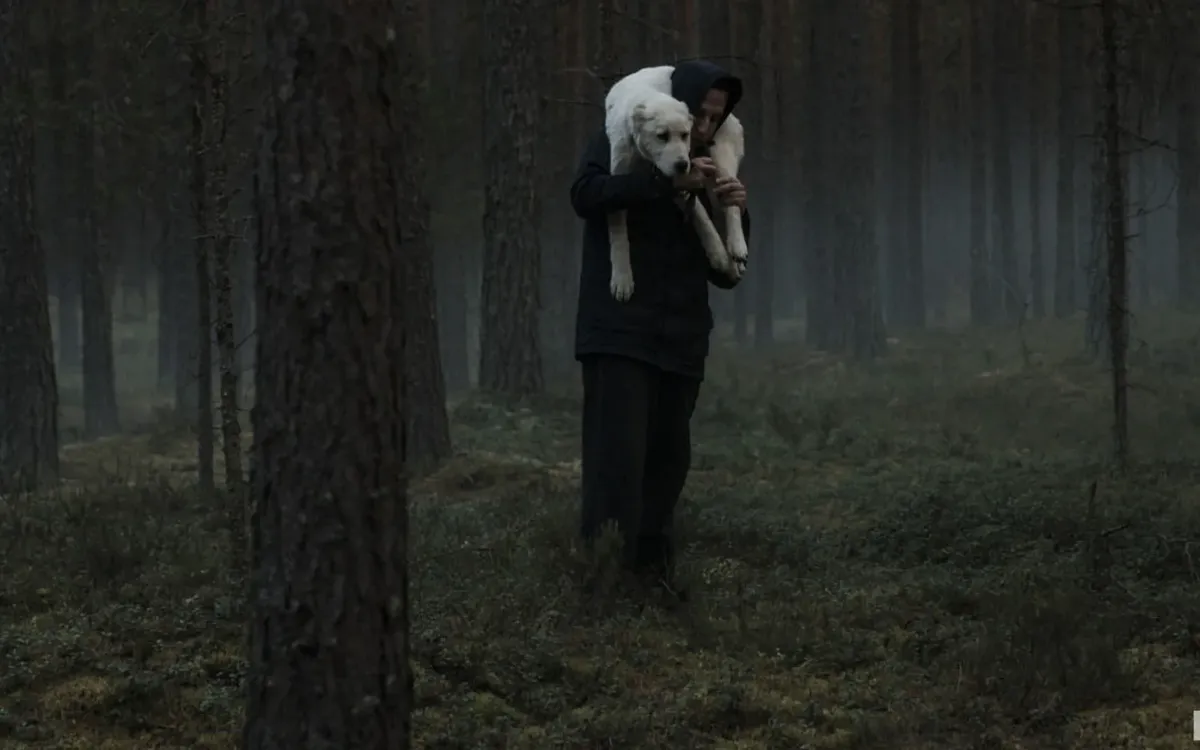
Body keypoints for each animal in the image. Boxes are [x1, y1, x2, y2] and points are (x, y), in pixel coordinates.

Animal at [603, 65, 748, 301]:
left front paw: (719, 255)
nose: (682, 164)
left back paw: (737, 246)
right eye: (661, 136)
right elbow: (617, 231)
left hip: (723, 150)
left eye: (685, 134)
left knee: (731, 202)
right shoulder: (620, 173)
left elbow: (702, 214)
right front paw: (622, 279)